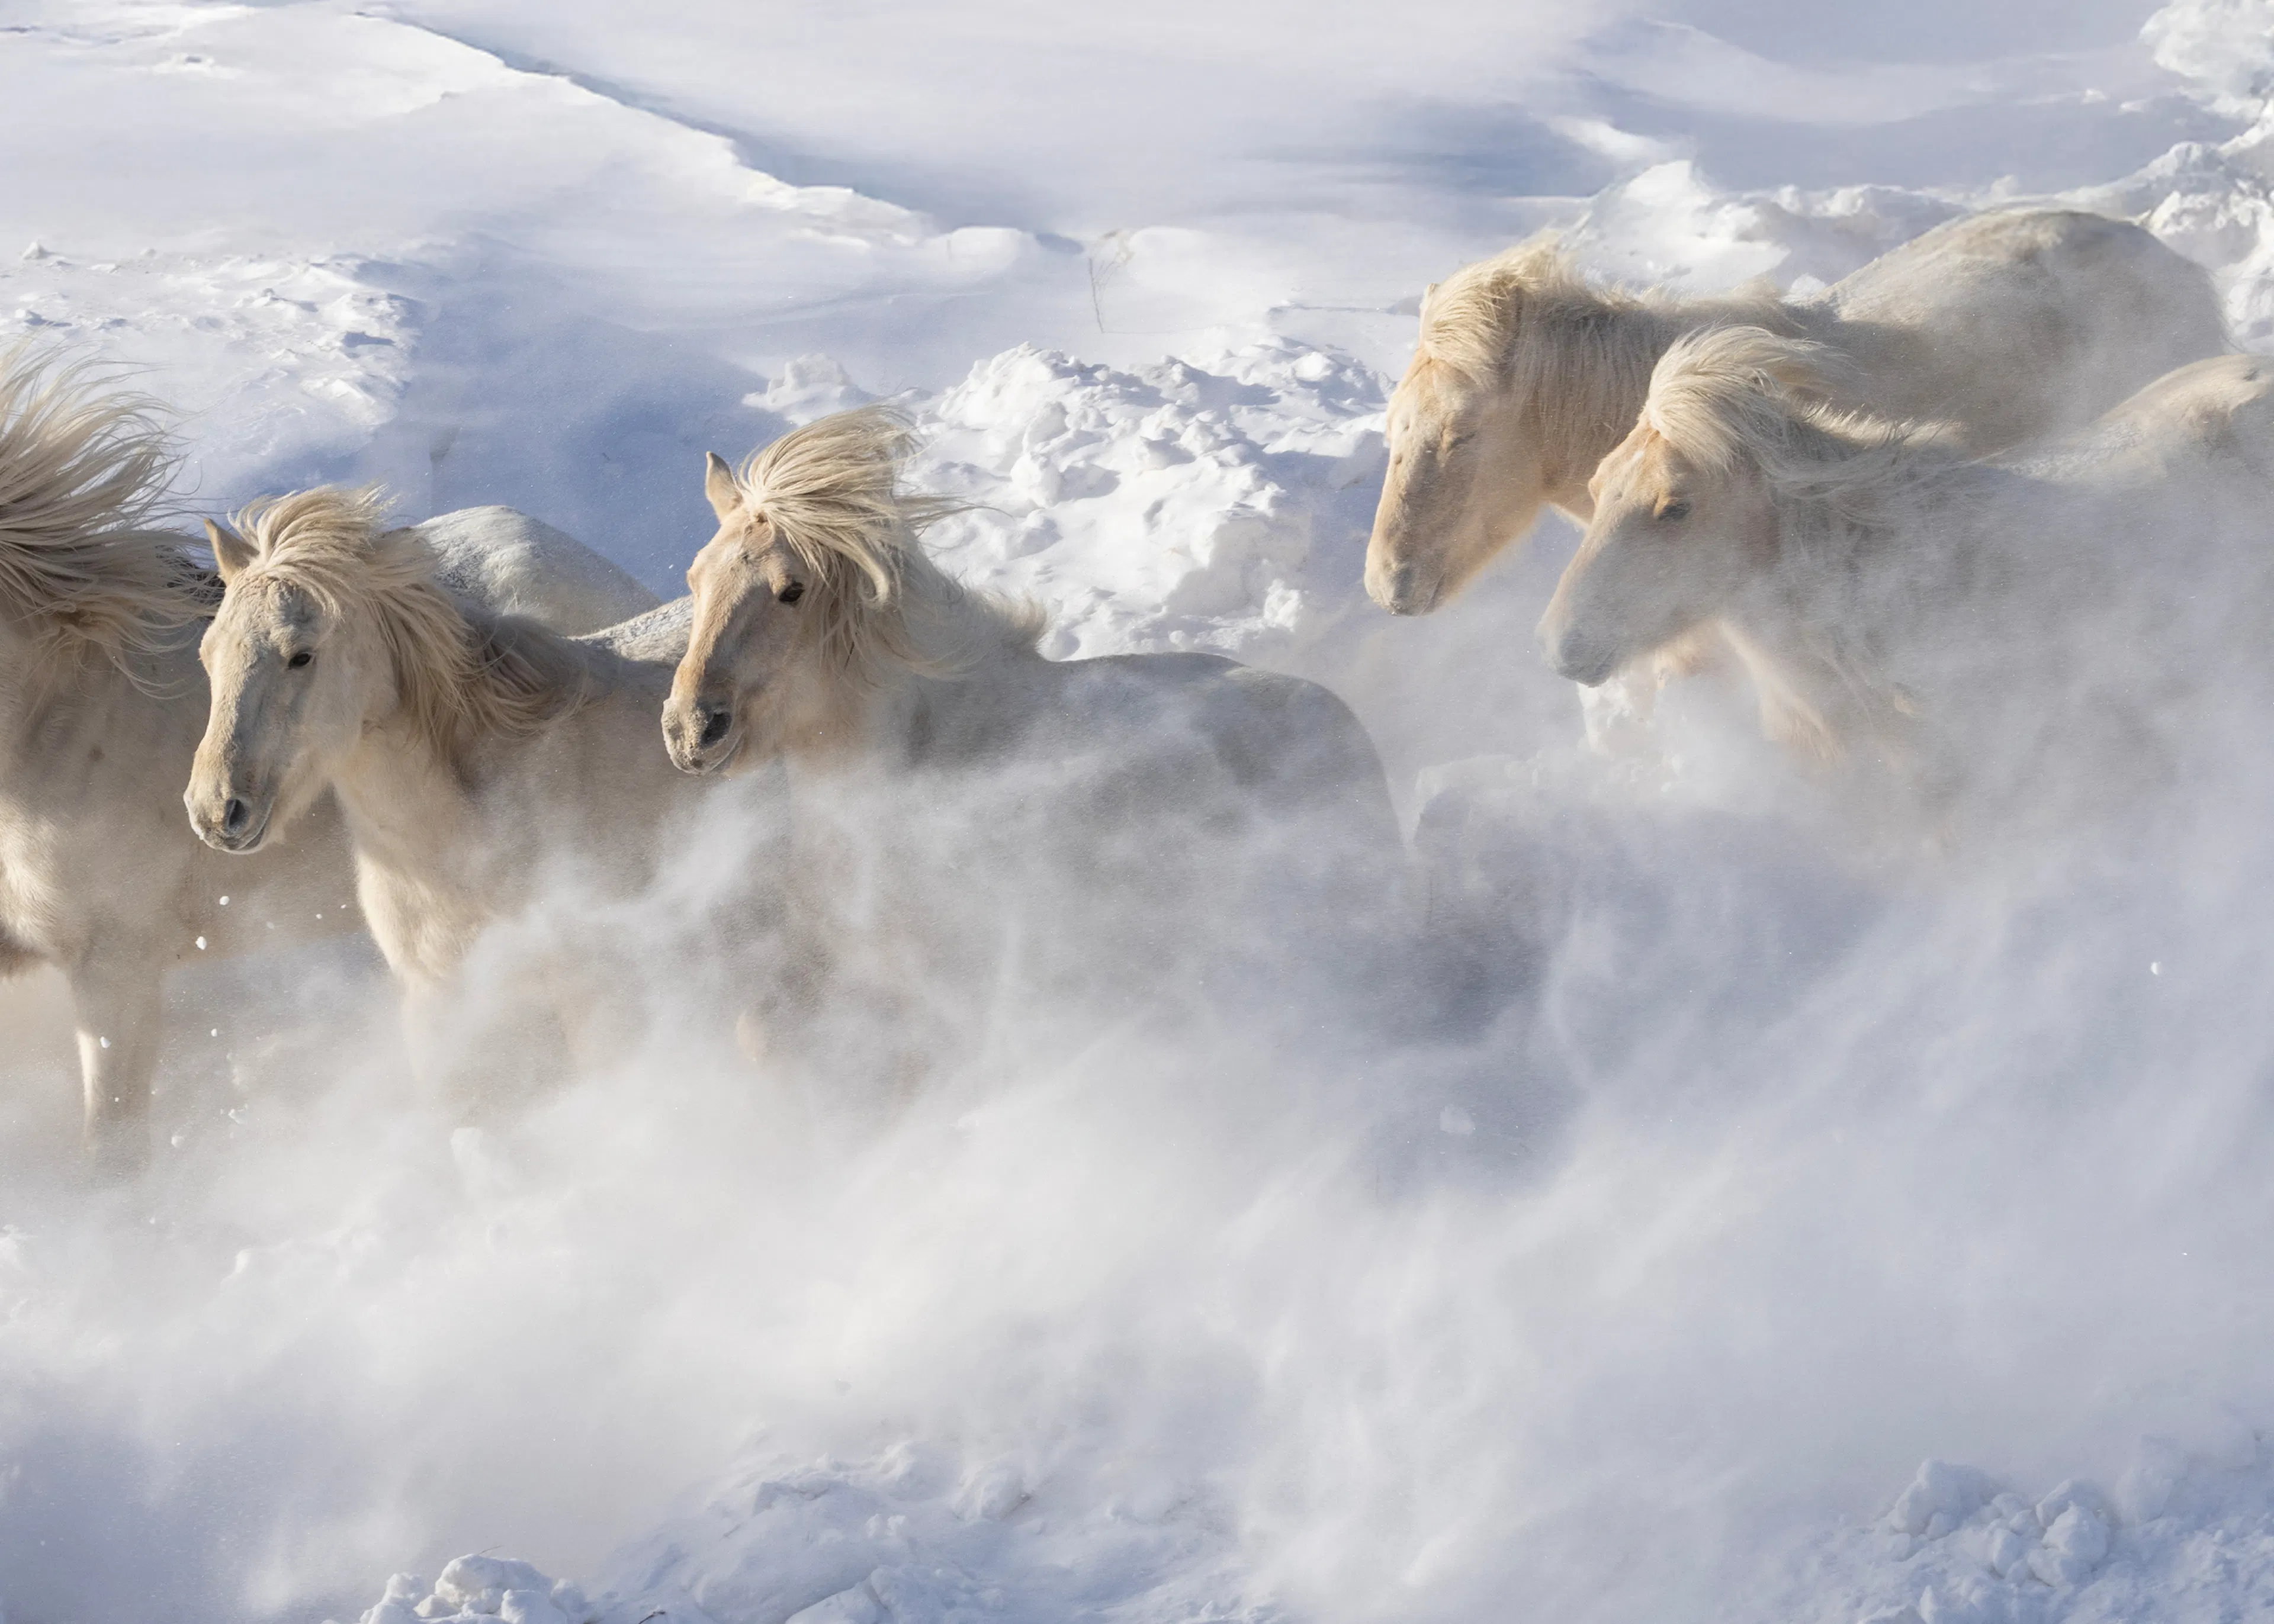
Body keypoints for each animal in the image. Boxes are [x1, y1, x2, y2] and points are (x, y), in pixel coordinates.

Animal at [0, 352, 663, 1172]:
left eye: (301, 656)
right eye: (207, 654)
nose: (216, 813)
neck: (54, 725)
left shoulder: (114, 966)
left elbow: (111, 1153)